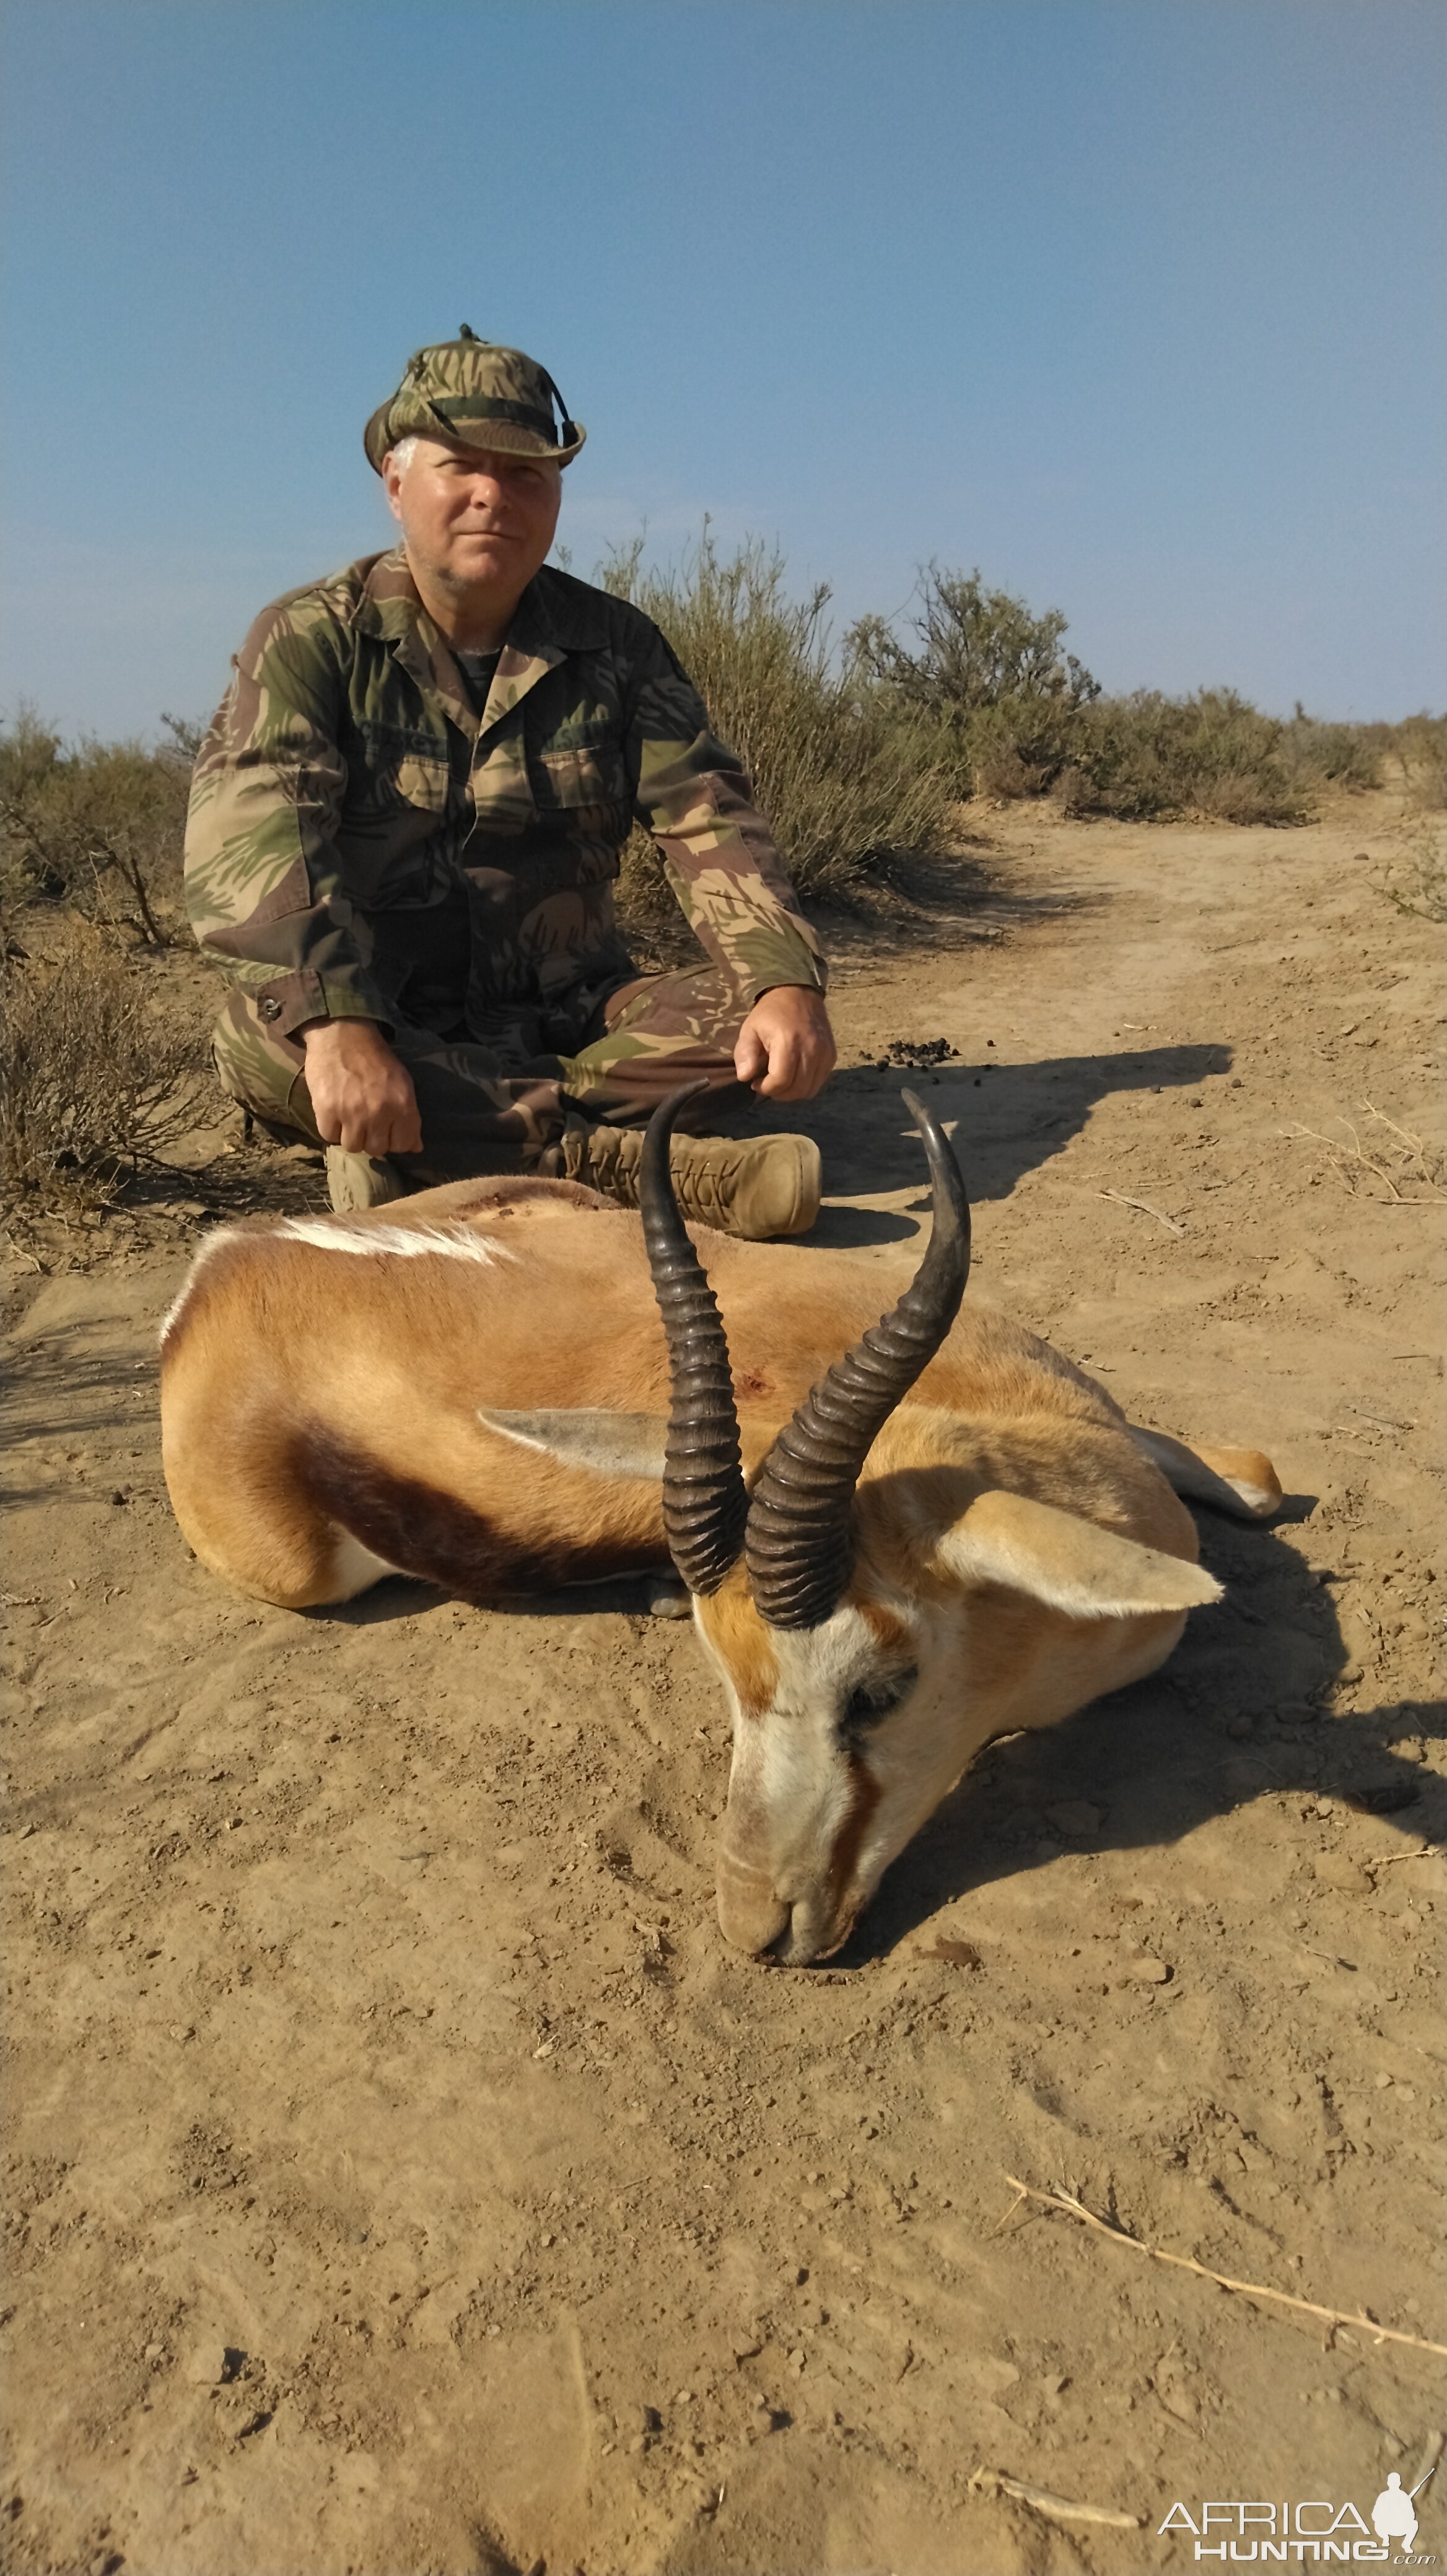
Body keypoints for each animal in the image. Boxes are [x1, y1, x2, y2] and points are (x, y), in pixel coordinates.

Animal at [163, 1076, 1277, 1957]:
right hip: (301, 1568)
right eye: (726, 1679)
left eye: (880, 1691)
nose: (758, 1930)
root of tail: (227, 1260)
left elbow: (1260, 1479)